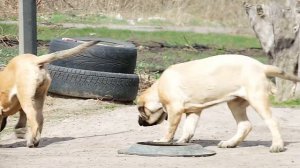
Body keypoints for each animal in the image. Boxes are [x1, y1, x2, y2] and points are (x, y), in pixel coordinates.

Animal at [138, 54, 300, 153]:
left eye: (141, 112)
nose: (139, 123)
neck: (158, 89)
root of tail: (261, 66)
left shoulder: (174, 110)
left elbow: (170, 129)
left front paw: (163, 140)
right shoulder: (193, 111)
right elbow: (188, 129)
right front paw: (182, 141)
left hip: (257, 99)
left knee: (272, 121)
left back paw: (277, 145)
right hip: (235, 104)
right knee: (245, 125)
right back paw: (230, 143)